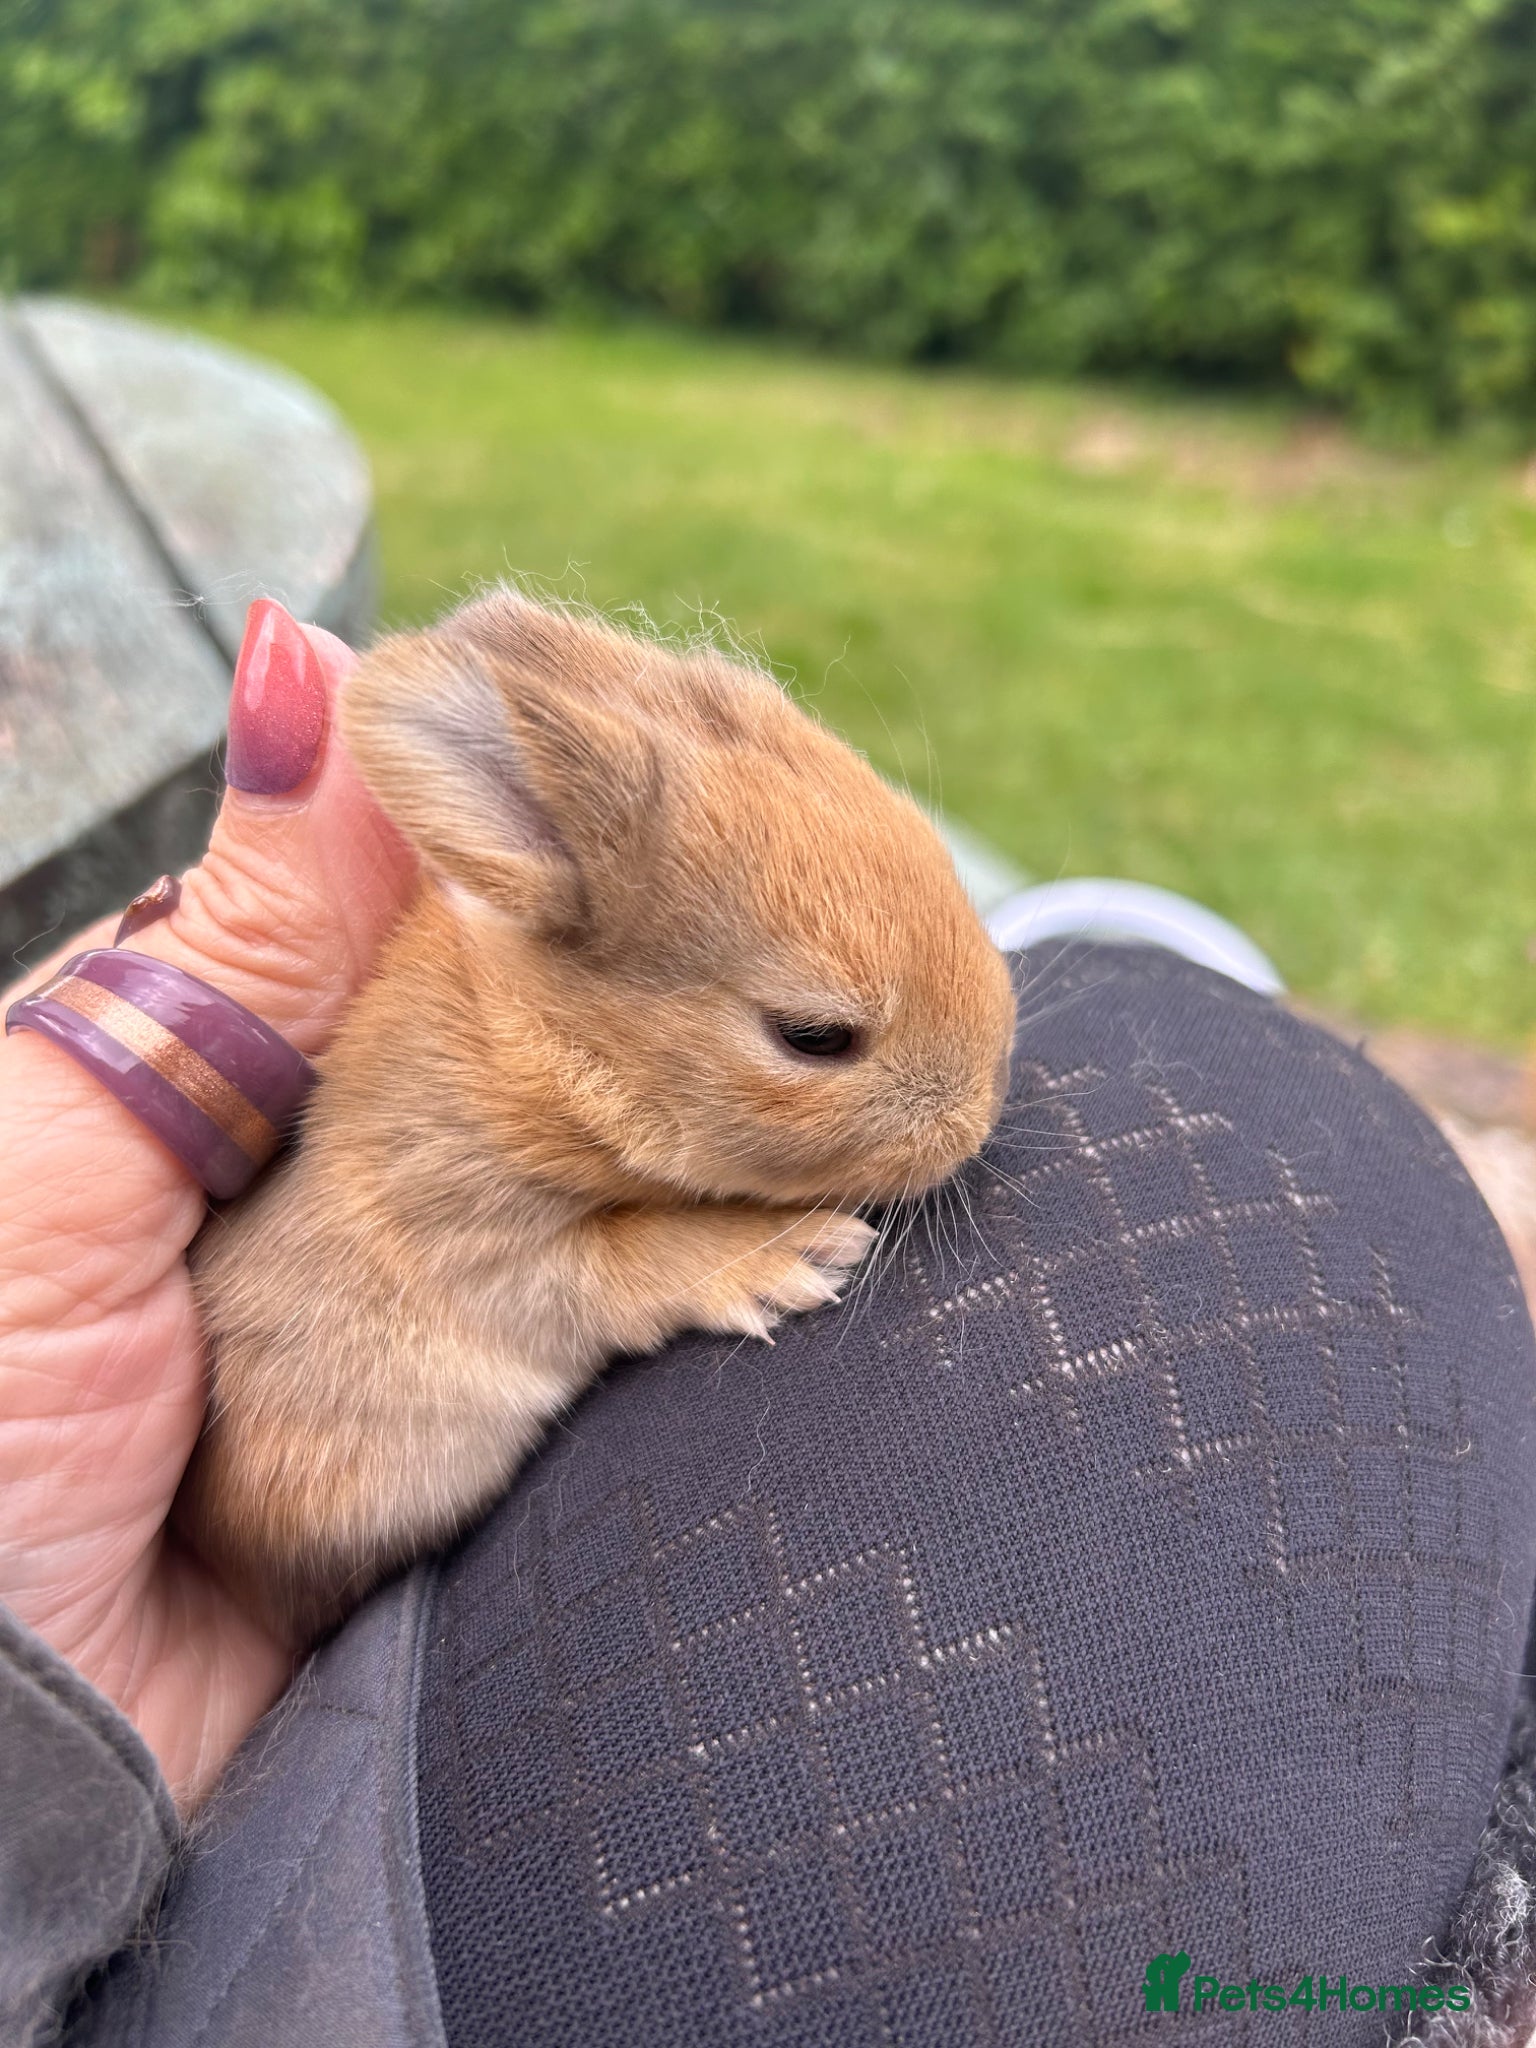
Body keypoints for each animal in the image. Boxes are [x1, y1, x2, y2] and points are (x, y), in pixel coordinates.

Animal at [176, 590, 1017, 1647]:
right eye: (814, 1037)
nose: (977, 1119)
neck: (550, 1050)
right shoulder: (472, 1232)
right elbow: (620, 1261)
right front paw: (790, 1255)